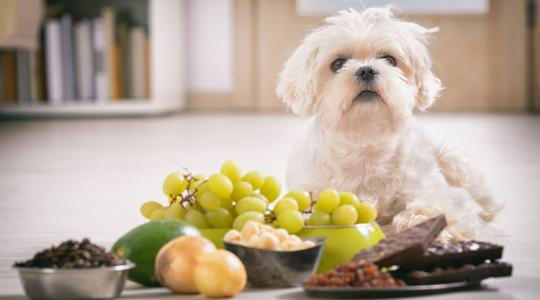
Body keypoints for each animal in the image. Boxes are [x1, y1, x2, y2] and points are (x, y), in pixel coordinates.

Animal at [276, 7, 500, 241]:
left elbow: (440, 207)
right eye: (337, 64)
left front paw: (420, 223)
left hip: (451, 159)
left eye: (389, 59)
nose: (366, 69)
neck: (366, 140)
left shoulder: (436, 192)